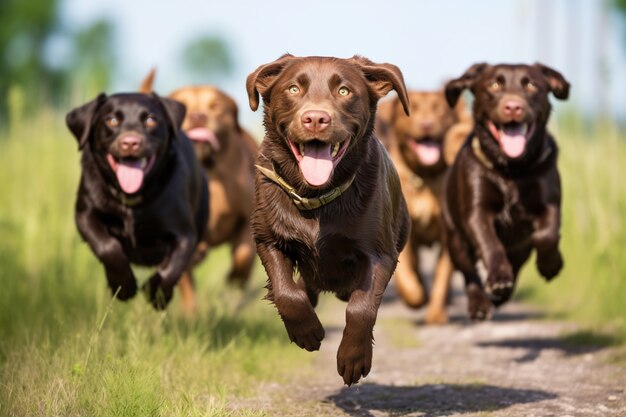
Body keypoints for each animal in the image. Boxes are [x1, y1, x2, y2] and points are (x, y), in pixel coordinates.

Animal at [65, 94, 208, 308]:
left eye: (150, 119)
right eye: (111, 120)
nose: (131, 142)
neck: (132, 198)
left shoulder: (185, 234)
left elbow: (172, 267)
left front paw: (156, 293)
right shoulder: (84, 215)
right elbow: (107, 246)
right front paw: (123, 286)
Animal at [140, 70, 258, 308]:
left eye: (216, 106)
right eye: (182, 106)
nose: (198, 116)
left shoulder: (247, 218)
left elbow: (243, 254)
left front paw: (235, 278)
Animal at [244, 54, 410, 384]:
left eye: (344, 91)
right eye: (294, 89)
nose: (316, 119)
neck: (316, 197)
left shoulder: (380, 254)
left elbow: (361, 307)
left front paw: (353, 358)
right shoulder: (268, 238)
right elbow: (286, 291)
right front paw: (307, 331)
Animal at [376, 90, 468, 324]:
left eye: (439, 109)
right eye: (412, 109)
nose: (426, 124)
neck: (425, 176)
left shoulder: (448, 235)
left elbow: (442, 276)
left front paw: (436, 314)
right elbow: (406, 275)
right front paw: (416, 298)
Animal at [442, 62, 568, 318]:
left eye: (531, 85)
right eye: (494, 85)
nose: (513, 107)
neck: (511, 169)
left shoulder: (549, 203)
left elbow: (546, 235)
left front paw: (551, 265)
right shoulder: (476, 211)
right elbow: (490, 243)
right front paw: (499, 278)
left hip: (520, 251)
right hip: (455, 240)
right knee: (470, 274)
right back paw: (480, 304)